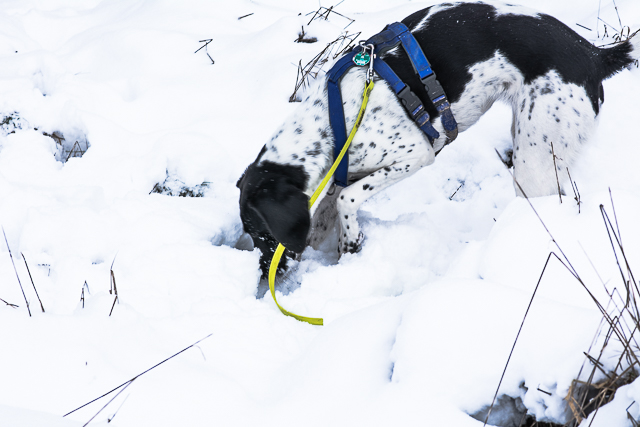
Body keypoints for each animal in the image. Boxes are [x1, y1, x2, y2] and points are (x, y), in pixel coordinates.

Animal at [236, 1, 640, 278]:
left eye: (262, 232)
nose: (264, 274)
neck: (335, 119)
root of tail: (594, 53)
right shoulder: (348, 169)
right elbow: (325, 211)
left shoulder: (415, 154)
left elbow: (346, 199)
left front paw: (350, 245)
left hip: (534, 164)